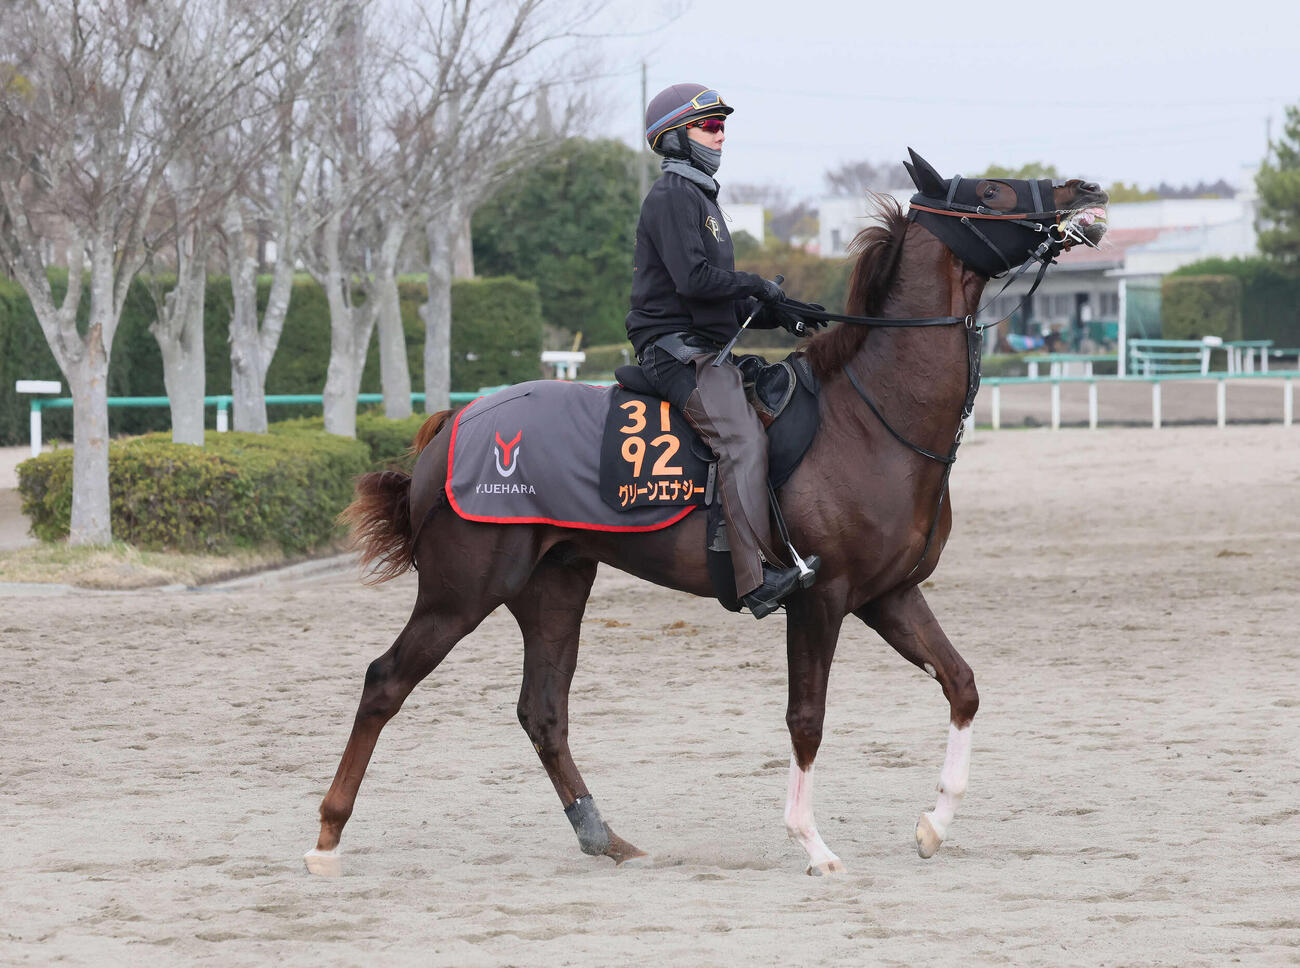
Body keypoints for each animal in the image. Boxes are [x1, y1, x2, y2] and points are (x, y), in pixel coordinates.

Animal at [304, 150, 1109, 876]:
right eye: (993, 189)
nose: (1086, 190)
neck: (870, 416)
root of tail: (455, 423)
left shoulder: (889, 595)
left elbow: (961, 684)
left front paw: (934, 824)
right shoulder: (819, 599)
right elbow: (807, 719)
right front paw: (812, 845)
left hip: (554, 586)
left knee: (542, 710)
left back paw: (603, 835)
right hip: (462, 592)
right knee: (385, 681)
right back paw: (327, 837)